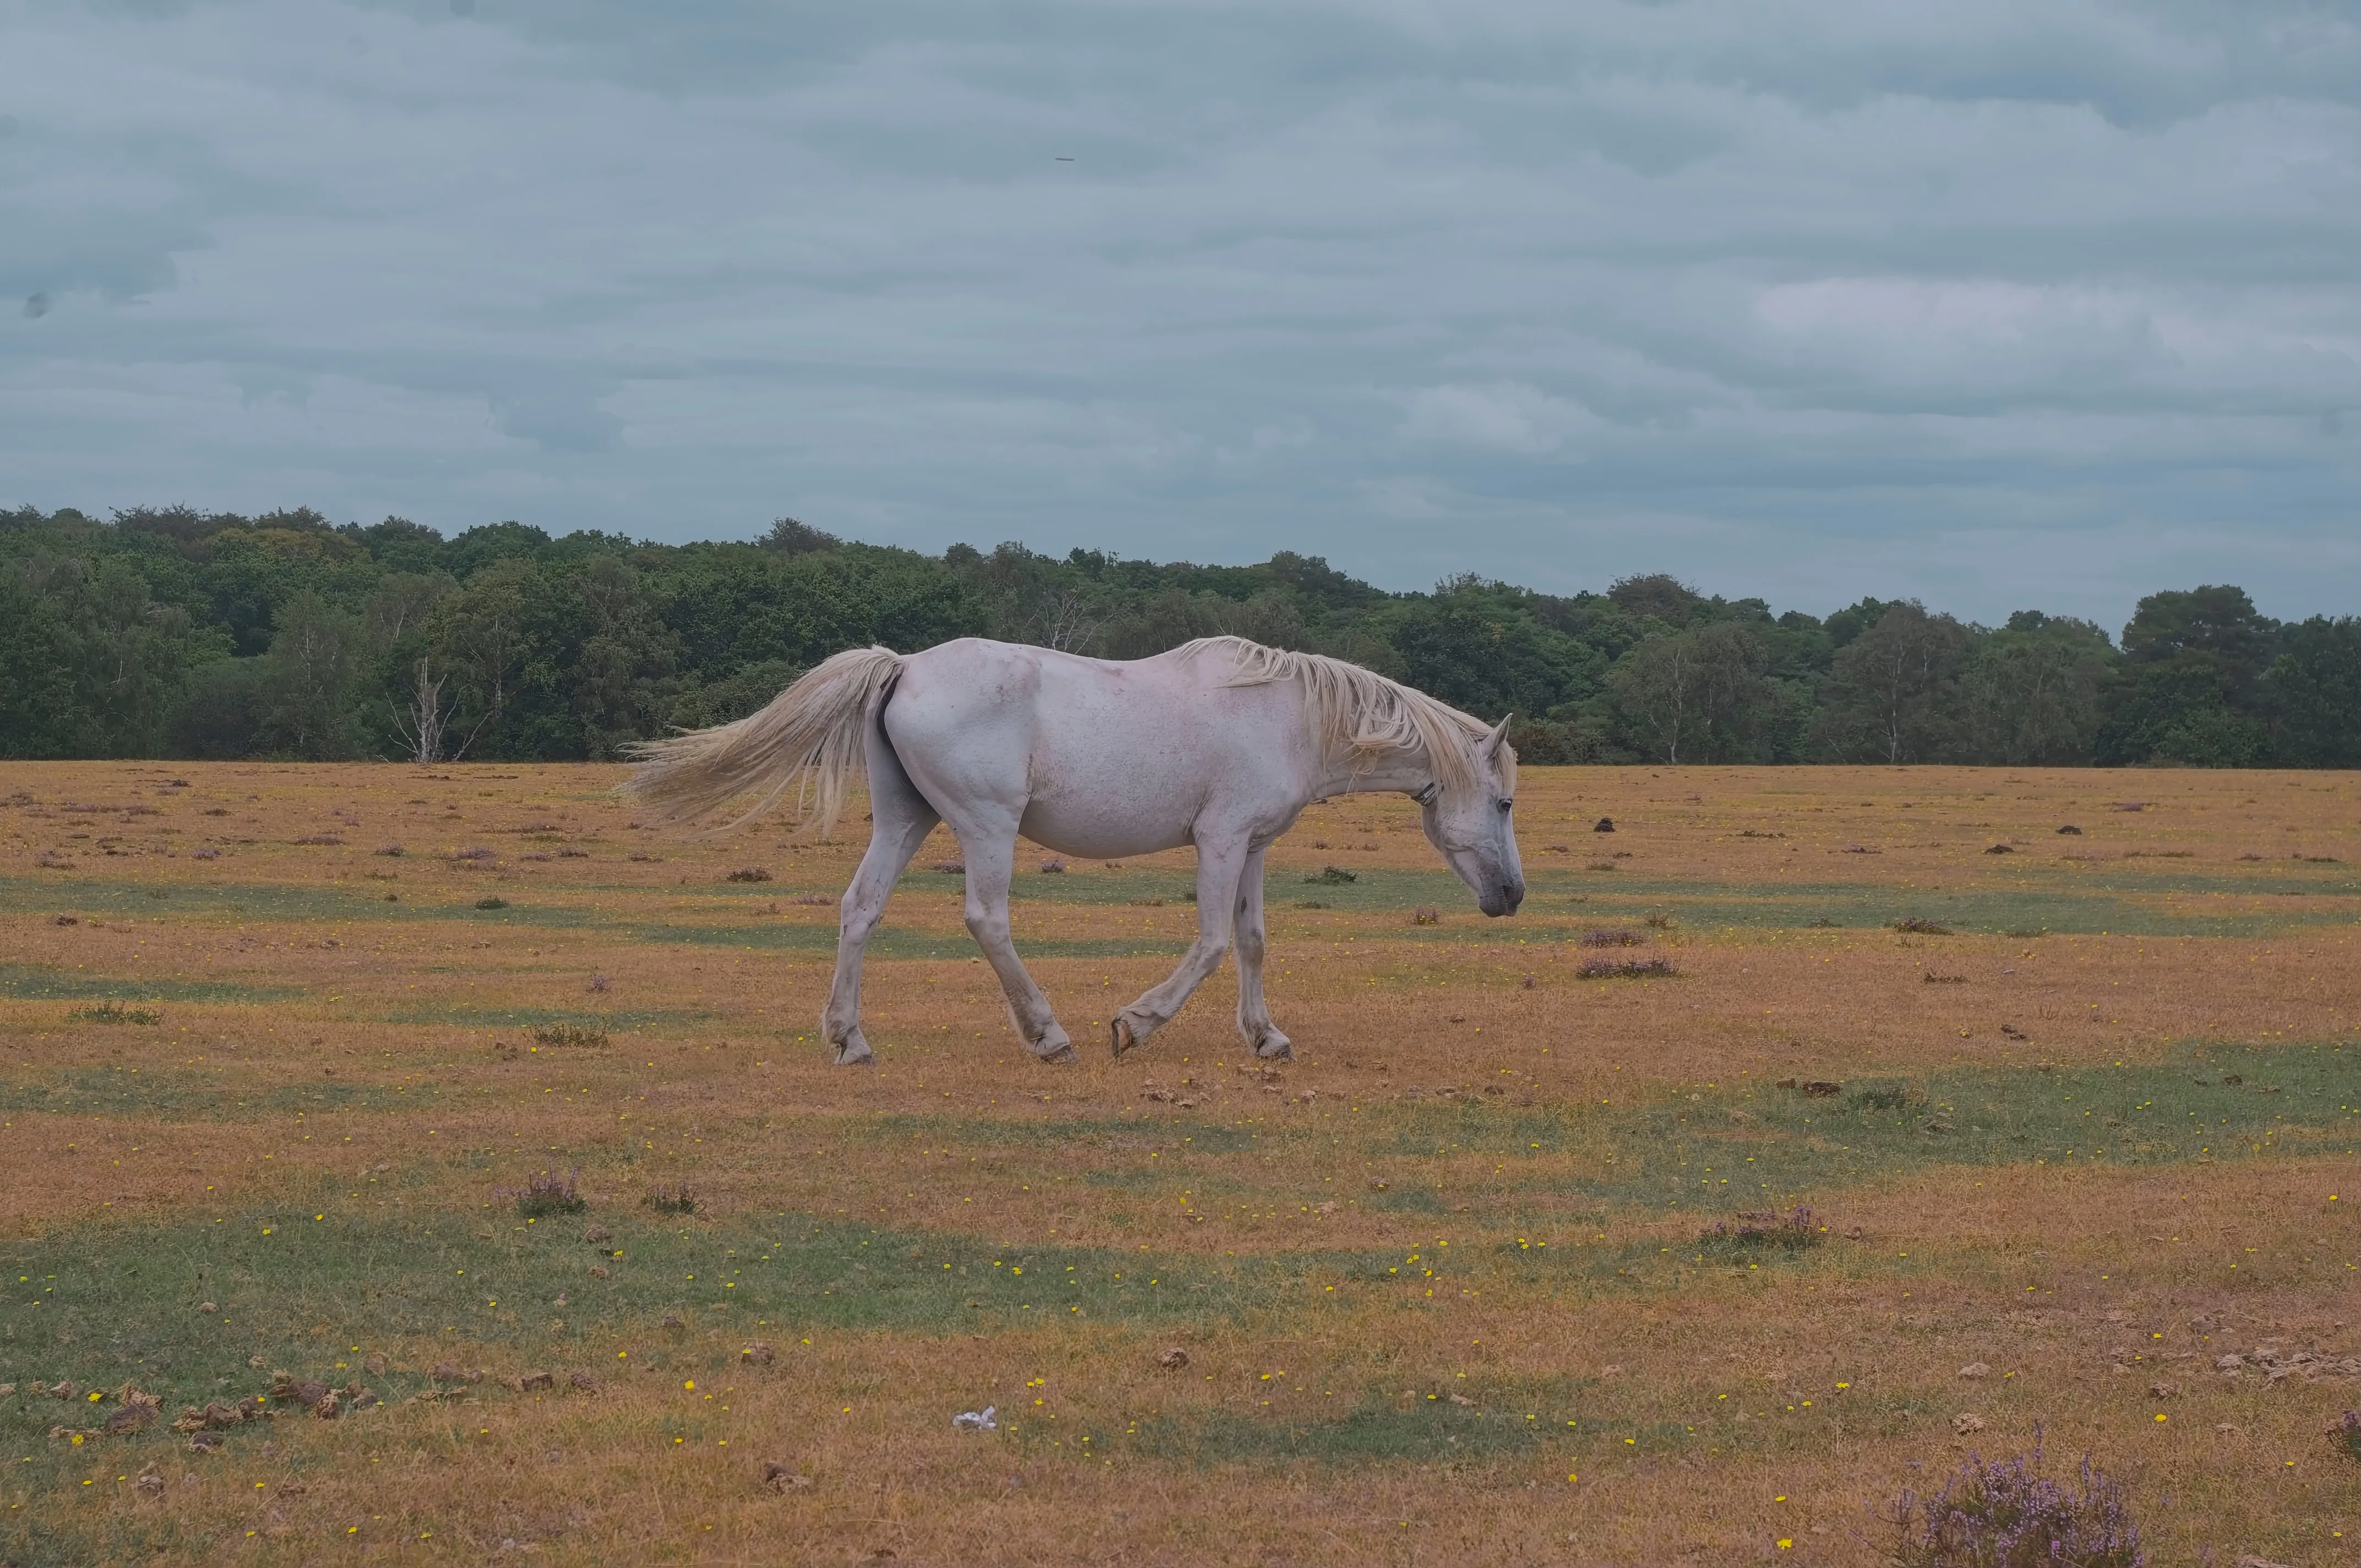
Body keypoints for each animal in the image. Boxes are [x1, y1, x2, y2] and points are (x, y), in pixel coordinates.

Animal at [625, 635, 1524, 1067]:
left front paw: (1267, 1038)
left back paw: (851, 1040)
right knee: (987, 918)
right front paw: (1136, 1023)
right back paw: (1049, 1035)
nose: (1511, 896)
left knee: (861, 908)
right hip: (985, 825)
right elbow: (1211, 943)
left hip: (906, 820)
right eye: (1507, 801)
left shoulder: (1254, 846)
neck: (1288, 714)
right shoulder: (1221, 841)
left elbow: (1253, 943)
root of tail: (904, 667)